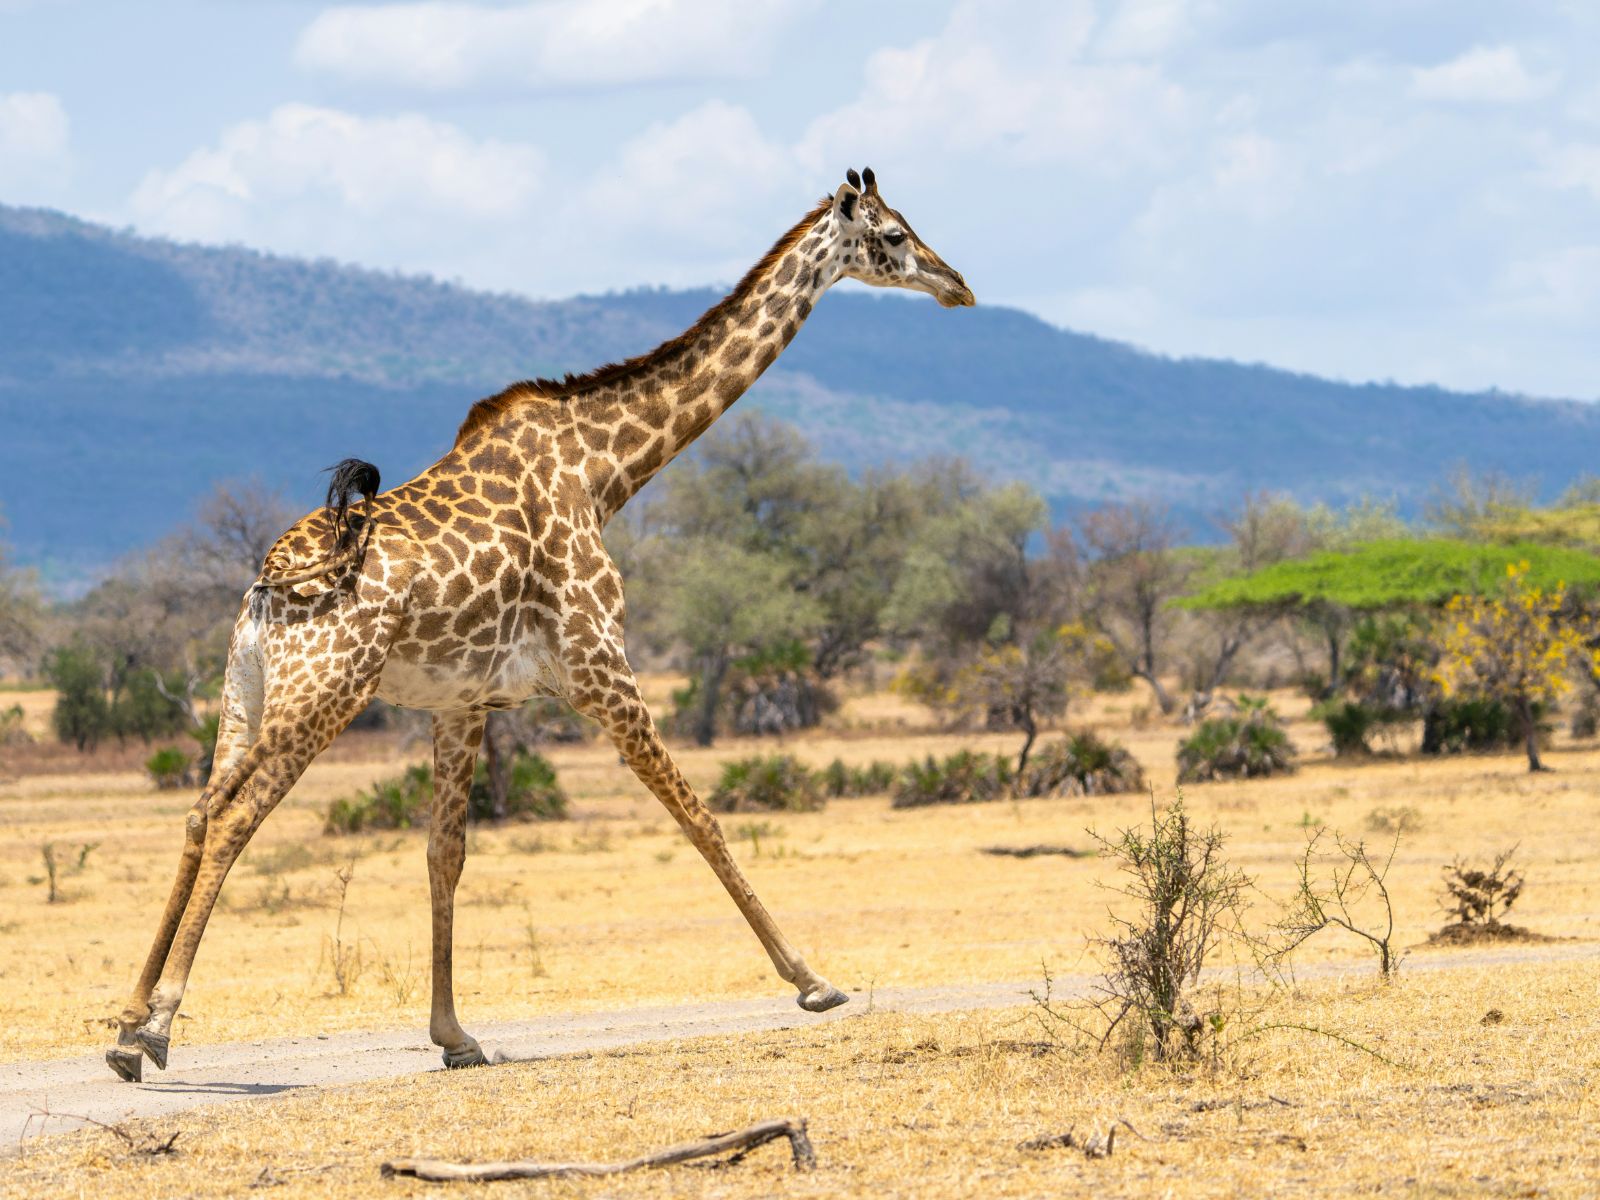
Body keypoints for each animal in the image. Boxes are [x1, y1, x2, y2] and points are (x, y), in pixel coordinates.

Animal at [105, 167, 974, 1082]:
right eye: (892, 235)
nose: (958, 284)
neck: (604, 469)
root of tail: (270, 582)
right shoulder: (601, 668)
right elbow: (698, 815)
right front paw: (813, 980)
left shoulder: (462, 705)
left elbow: (445, 853)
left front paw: (455, 1035)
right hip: (325, 691)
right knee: (235, 819)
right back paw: (158, 1026)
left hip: (248, 692)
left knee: (200, 810)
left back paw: (127, 1025)